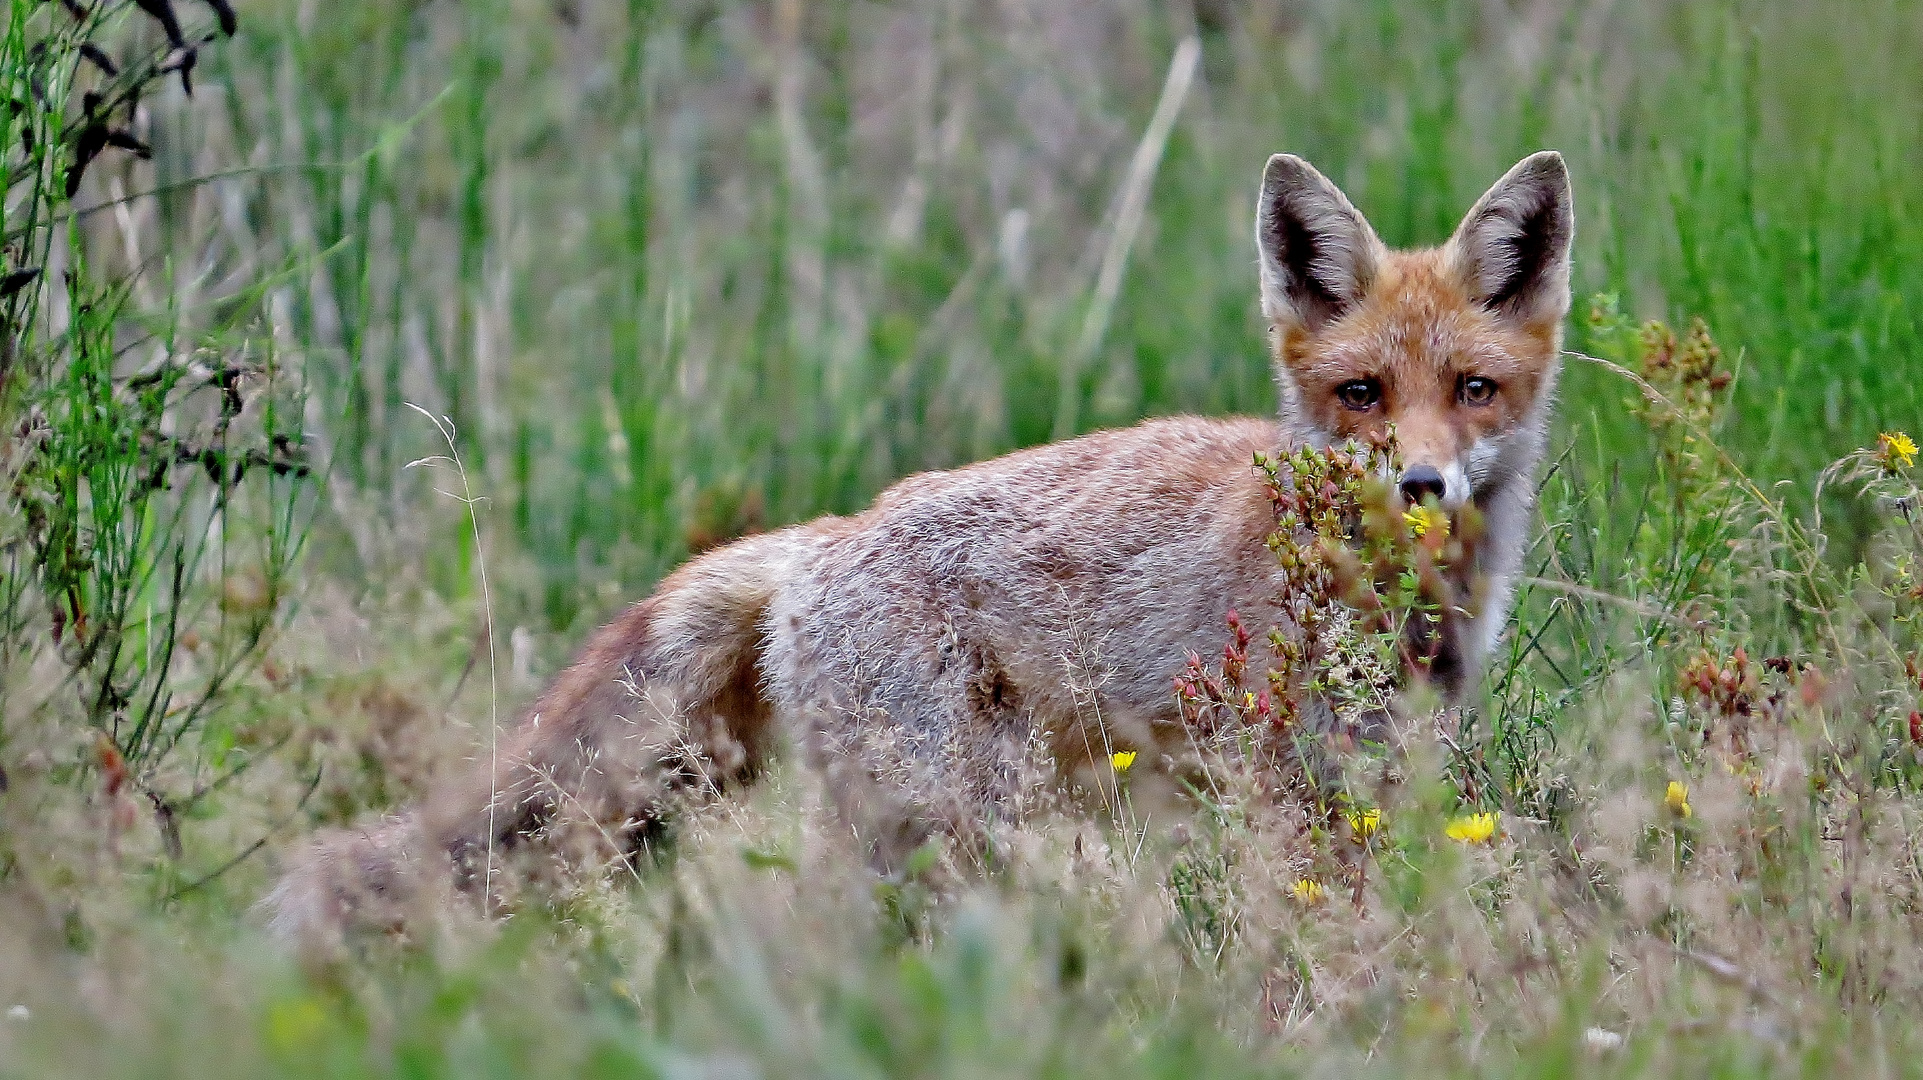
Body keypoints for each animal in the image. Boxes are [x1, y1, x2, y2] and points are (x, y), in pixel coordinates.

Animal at [263, 148, 1569, 933]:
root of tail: (821, 537)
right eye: (1360, 394)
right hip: (943, 820)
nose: (1421, 482)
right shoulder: (1288, 778)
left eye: (1473, 389)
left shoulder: (1381, 771)